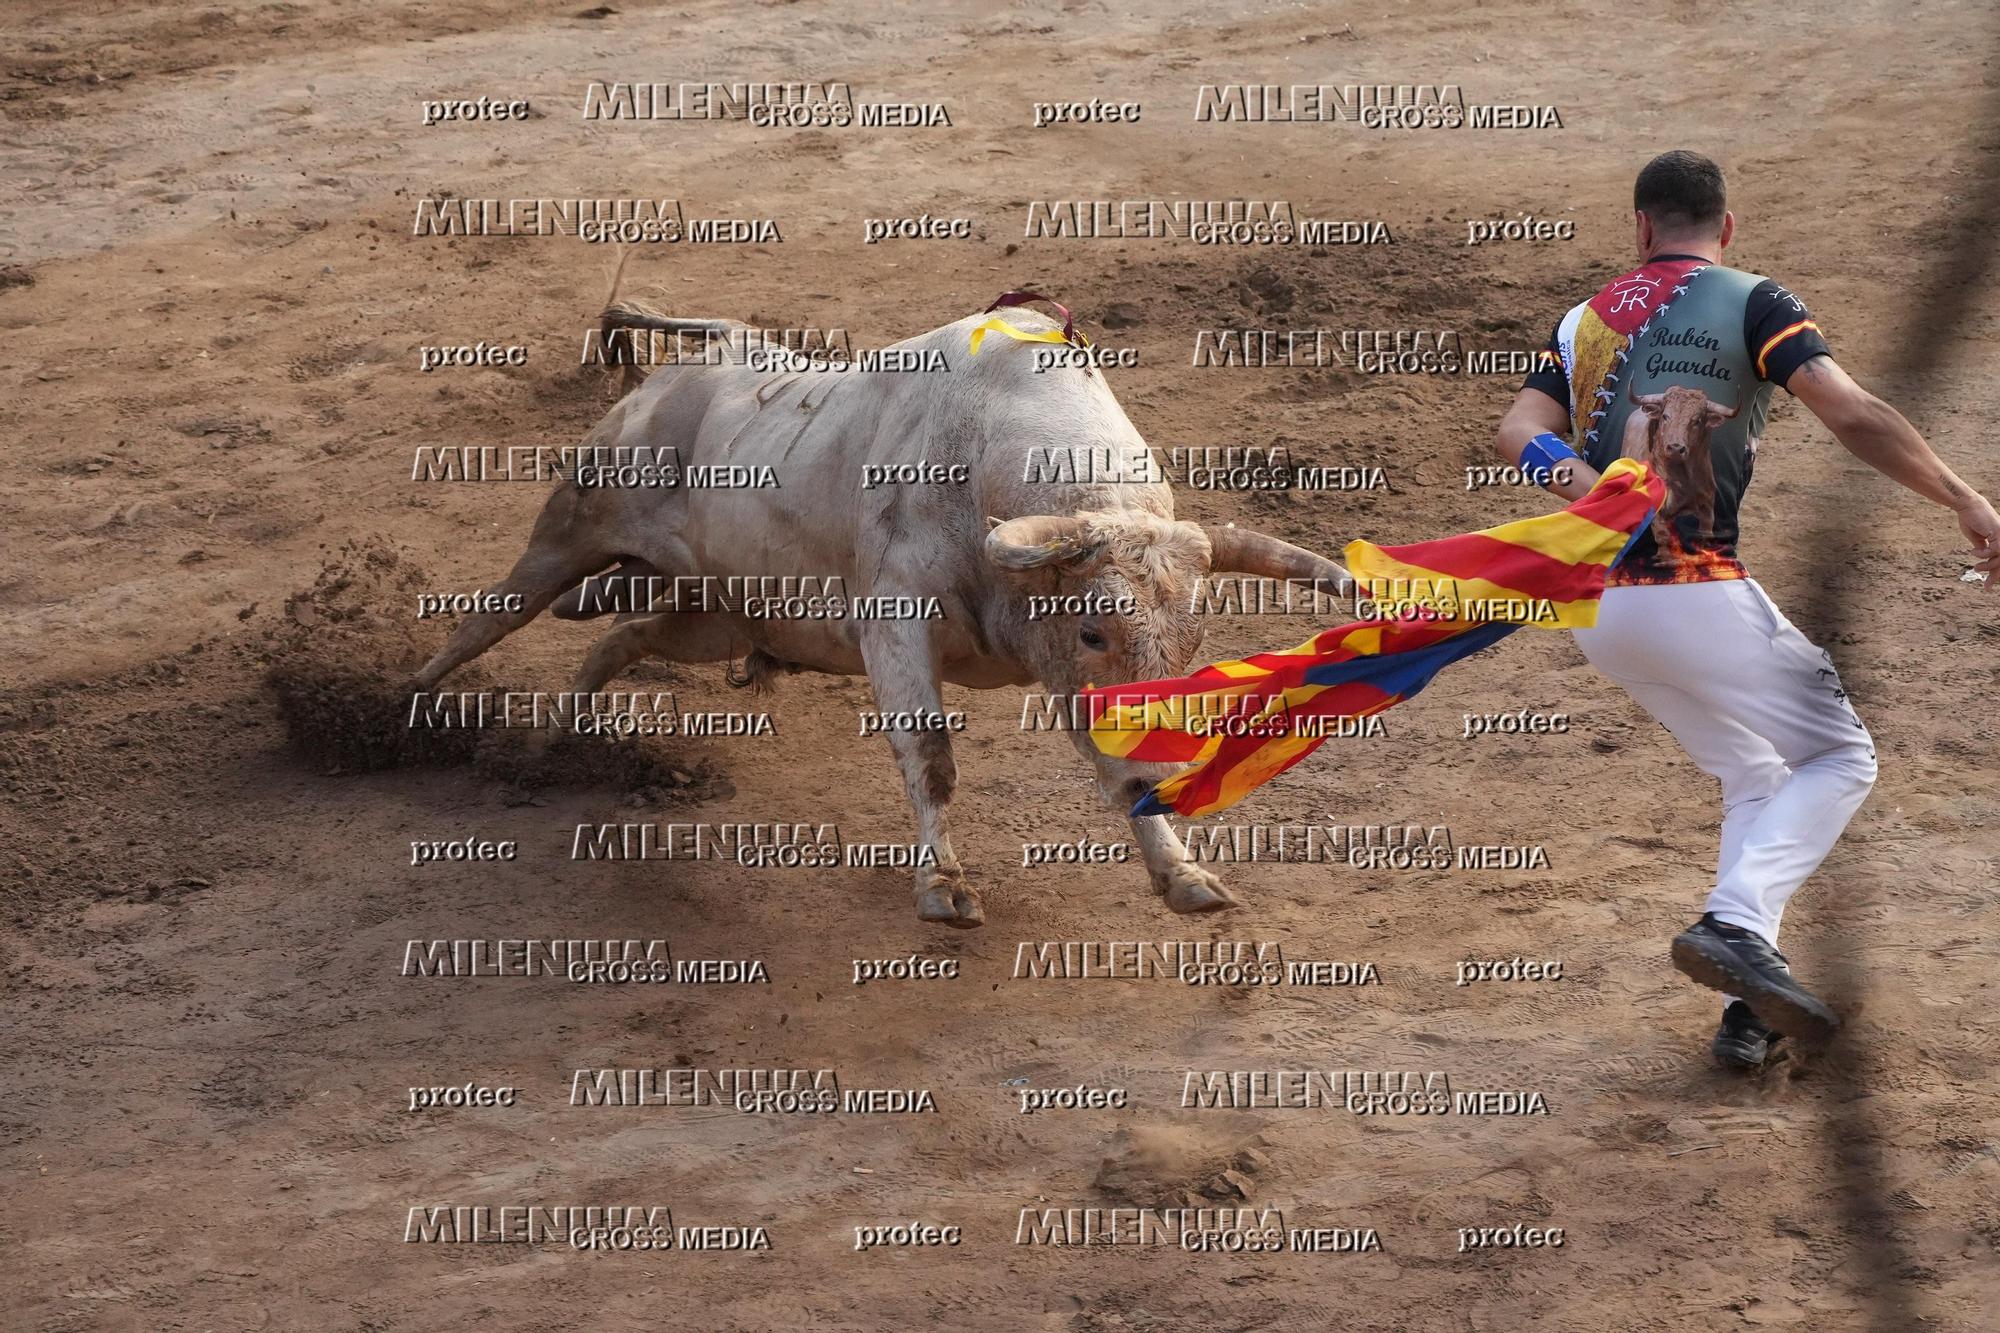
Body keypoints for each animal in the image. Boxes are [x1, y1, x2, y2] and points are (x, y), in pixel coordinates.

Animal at [420, 294, 1360, 924]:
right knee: (492, 615)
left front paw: (1182, 873)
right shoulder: (897, 627)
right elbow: (931, 755)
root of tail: (710, 350)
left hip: (723, 613)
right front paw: (943, 888)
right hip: (573, 525)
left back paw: (556, 741)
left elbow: (1109, 769)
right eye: (1093, 629)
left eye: (1193, 642)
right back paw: (418, 700)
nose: (1166, 779)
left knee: (622, 637)